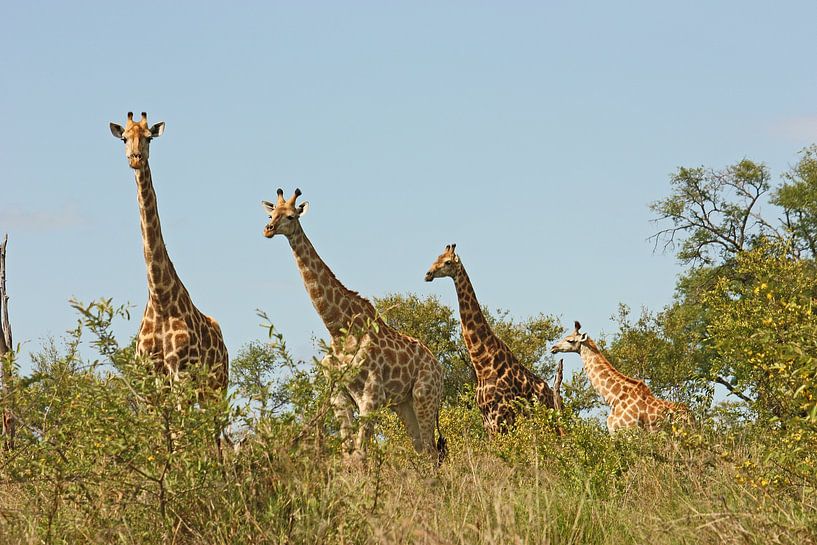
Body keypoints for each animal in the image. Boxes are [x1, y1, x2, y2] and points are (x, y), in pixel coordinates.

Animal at [109, 112, 228, 399]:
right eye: (124, 138)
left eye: (149, 138)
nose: (136, 158)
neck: (160, 298)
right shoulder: (150, 374)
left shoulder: (179, 371)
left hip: (217, 387)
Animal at [261, 189, 446, 463]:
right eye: (271, 213)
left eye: (292, 216)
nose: (268, 229)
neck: (337, 327)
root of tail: (438, 366)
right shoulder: (340, 394)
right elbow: (348, 453)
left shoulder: (371, 393)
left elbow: (360, 453)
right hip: (404, 403)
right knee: (422, 449)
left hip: (425, 395)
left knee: (432, 452)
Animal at [425, 244, 560, 434]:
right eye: (436, 257)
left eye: (447, 262)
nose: (428, 274)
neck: (482, 363)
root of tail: (552, 396)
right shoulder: (486, 420)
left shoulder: (500, 416)